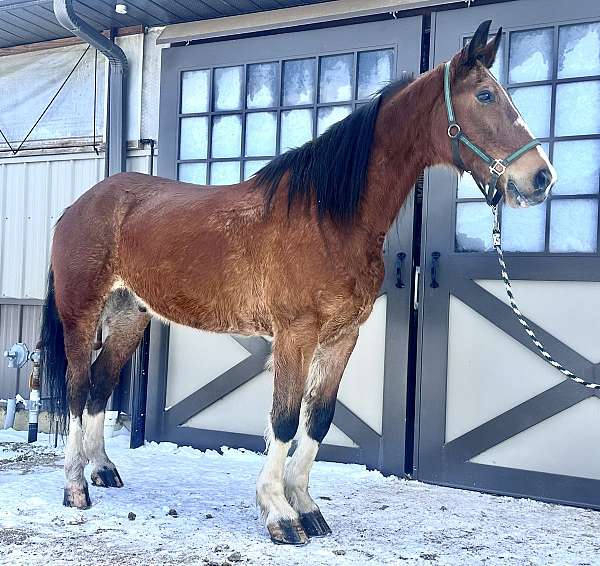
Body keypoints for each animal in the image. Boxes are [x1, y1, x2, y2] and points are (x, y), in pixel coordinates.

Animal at [41, 20, 552, 548]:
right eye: (486, 95)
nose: (540, 178)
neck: (327, 219)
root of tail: (79, 205)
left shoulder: (342, 338)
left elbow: (317, 422)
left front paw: (306, 507)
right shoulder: (295, 336)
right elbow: (284, 421)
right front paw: (280, 514)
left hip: (130, 317)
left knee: (101, 385)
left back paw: (103, 470)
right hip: (82, 314)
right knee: (78, 389)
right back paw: (76, 486)